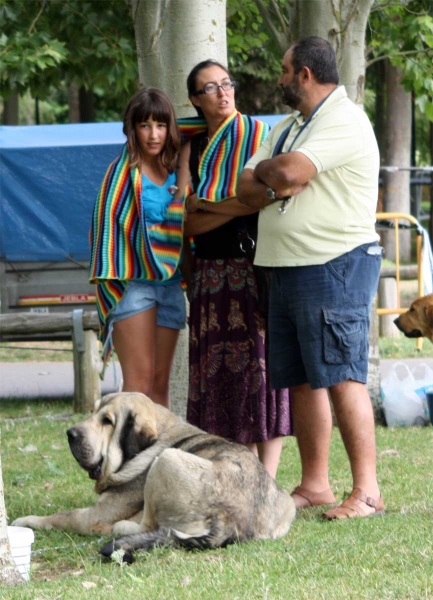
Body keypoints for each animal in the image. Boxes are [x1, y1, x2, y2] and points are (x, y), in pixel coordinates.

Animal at [14, 394, 296, 564]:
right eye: (92, 412)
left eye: (107, 421)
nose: (70, 433)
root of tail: (231, 520)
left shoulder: (94, 516)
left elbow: (64, 516)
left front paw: (27, 521)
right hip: (288, 503)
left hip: (165, 461)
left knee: (147, 525)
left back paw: (124, 527)